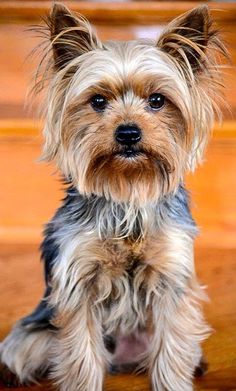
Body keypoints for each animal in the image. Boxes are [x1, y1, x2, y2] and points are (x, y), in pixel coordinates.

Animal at [0, 3, 226, 391]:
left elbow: (172, 349)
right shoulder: (79, 280)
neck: (127, 192)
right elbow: (81, 354)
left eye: (157, 101)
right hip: (34, 335)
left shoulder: (170, 277)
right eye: (97, 101)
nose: (128, 133)